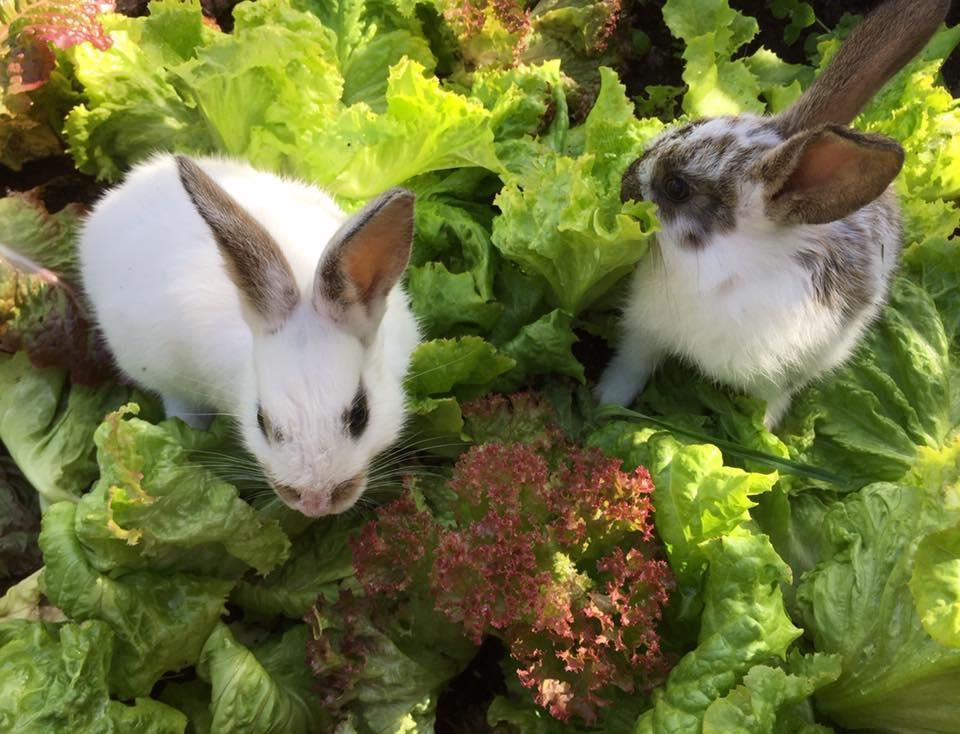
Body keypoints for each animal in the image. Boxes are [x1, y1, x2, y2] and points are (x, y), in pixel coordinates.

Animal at [598, 0, 950, 429]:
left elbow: (769, 407)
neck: (717, 269)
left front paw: (759, 435)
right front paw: (603, 404)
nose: (624, 184)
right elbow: (629, 366)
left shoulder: (779, 378)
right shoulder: (646, 332)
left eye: (677, 188)